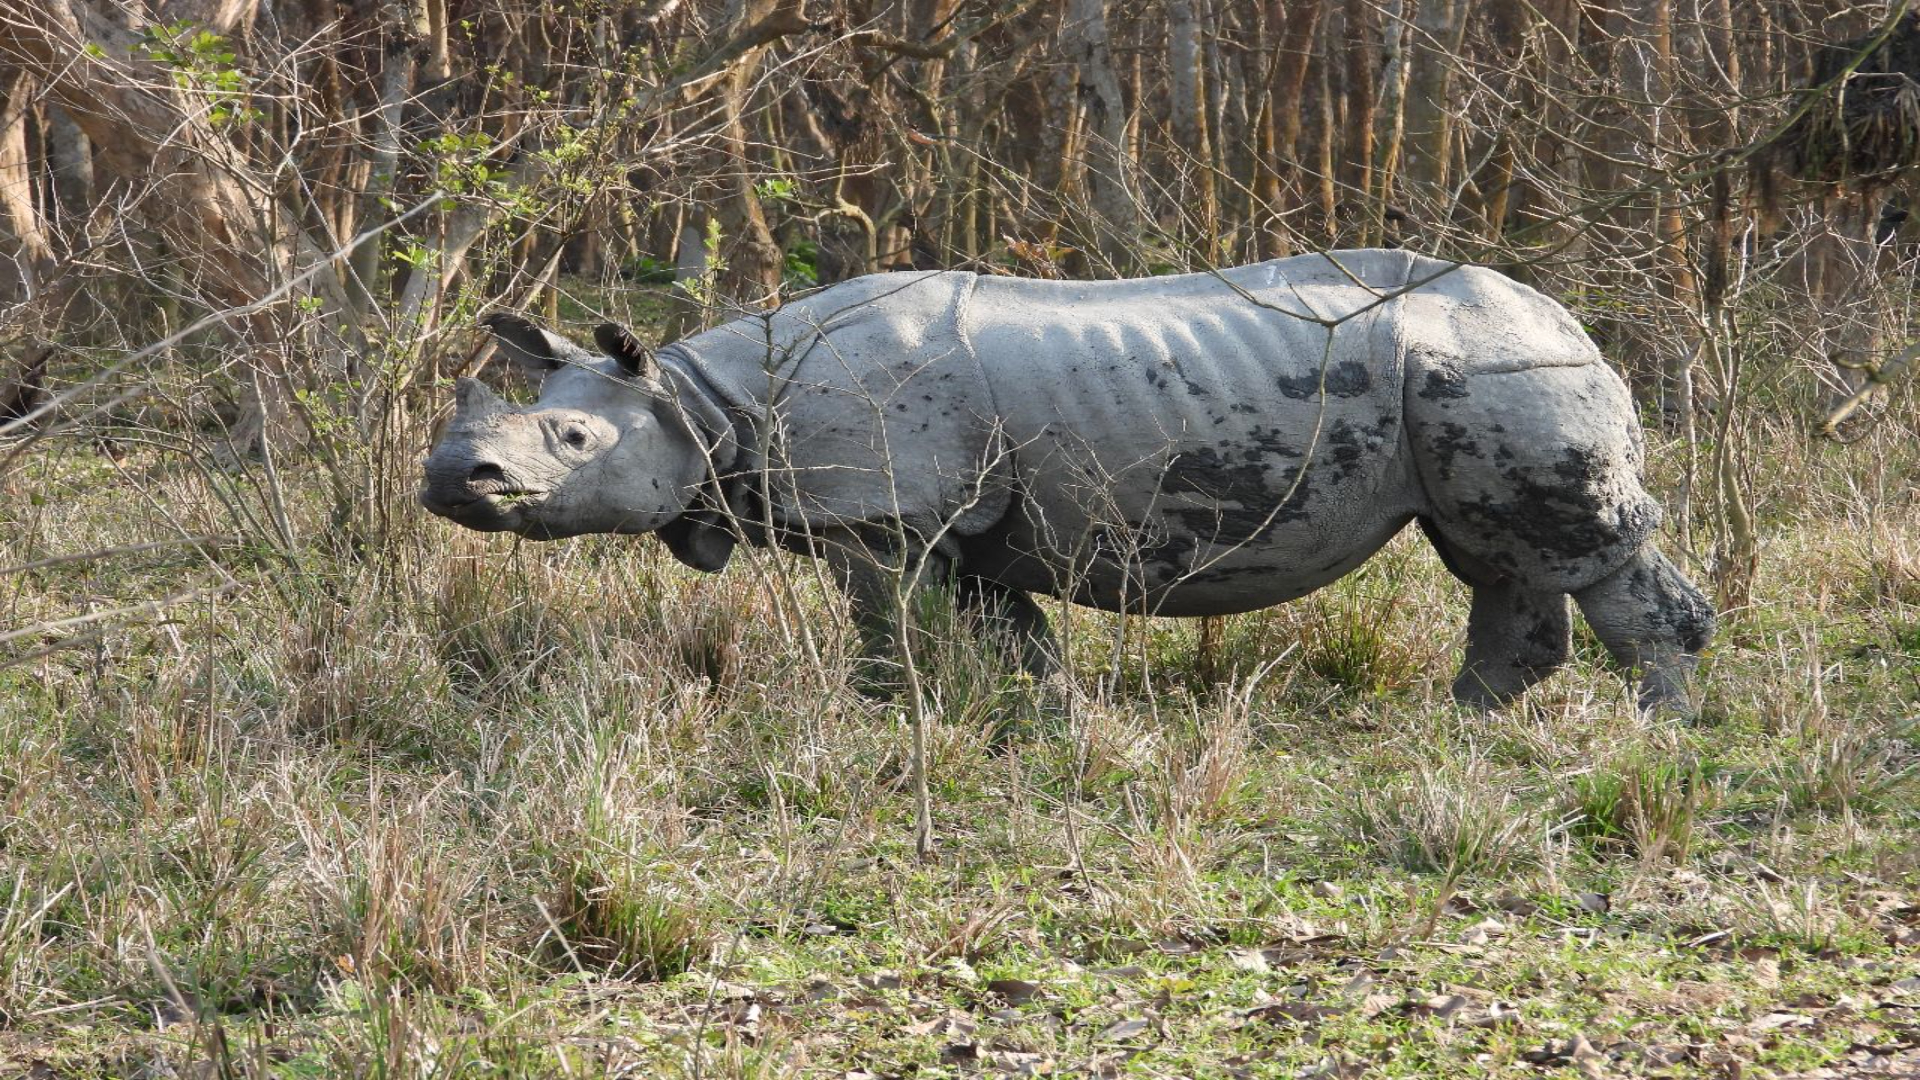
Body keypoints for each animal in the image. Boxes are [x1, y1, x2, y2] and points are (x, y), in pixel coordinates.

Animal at [420, 247, 1712, 711]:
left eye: (571, 443)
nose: (448, 479)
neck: (700, 399)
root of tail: (1567, 316)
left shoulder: (880, 515)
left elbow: (887, 627)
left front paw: (884, 714)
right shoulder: (970, 524)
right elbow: (1014, 632)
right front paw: (1049, 719)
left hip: (1504, 372)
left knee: (1570, 550)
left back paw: (1657, 725)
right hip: (1466, 380)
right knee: (1492, 551)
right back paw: (1472, 721)